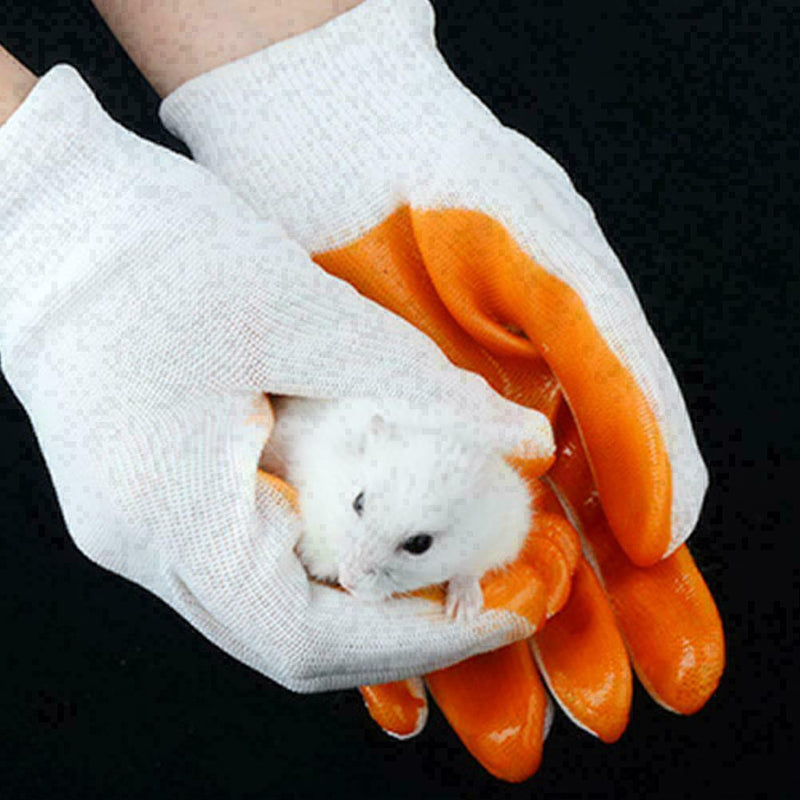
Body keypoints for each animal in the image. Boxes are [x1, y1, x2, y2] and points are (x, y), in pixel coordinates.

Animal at [260, 396, 547, 621]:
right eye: (358, 502)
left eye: (419, 544)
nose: (346, 581)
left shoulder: (504, 533)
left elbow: (469, 570)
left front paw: (462, 613)